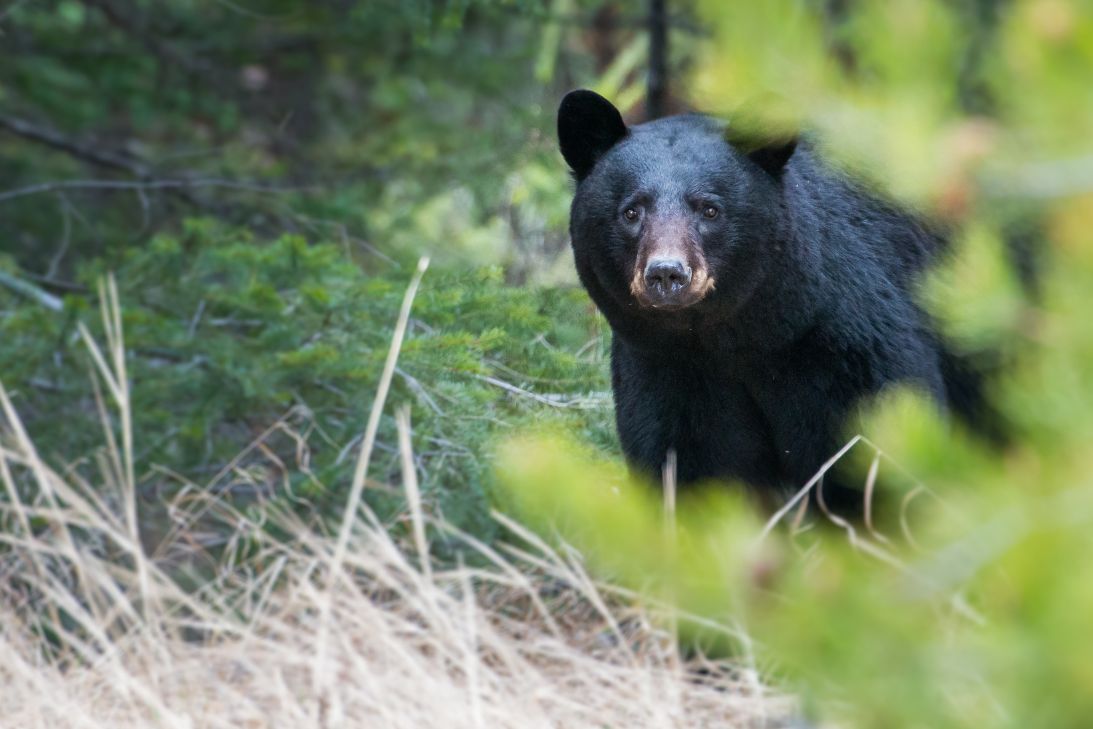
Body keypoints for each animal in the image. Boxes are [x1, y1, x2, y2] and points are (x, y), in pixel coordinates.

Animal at [557, 89, 986, 511]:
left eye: (710, 209)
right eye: (631, 211)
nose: (667, 273)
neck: (740, 339)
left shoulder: (848, 347)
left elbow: (868, 453)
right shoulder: (667, 368)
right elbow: (691, 465)